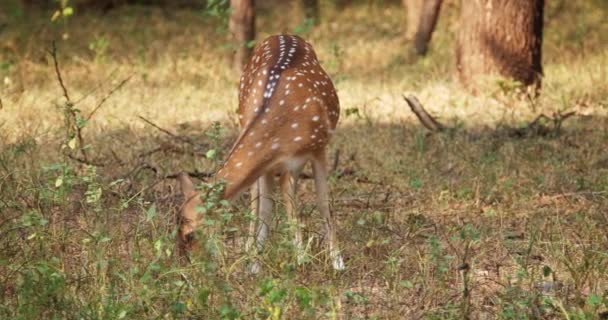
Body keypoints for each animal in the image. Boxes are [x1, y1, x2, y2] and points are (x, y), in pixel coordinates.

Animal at [178, 33, 344, 272]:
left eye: (189, 235)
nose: (190, 266)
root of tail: (282, 34)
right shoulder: (272, 163)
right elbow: (266, 207)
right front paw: (256, 264)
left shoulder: (317, 149)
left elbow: (322, 203)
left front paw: (335, 262)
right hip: (244, 123)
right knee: (256, 199)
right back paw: (251, 248)